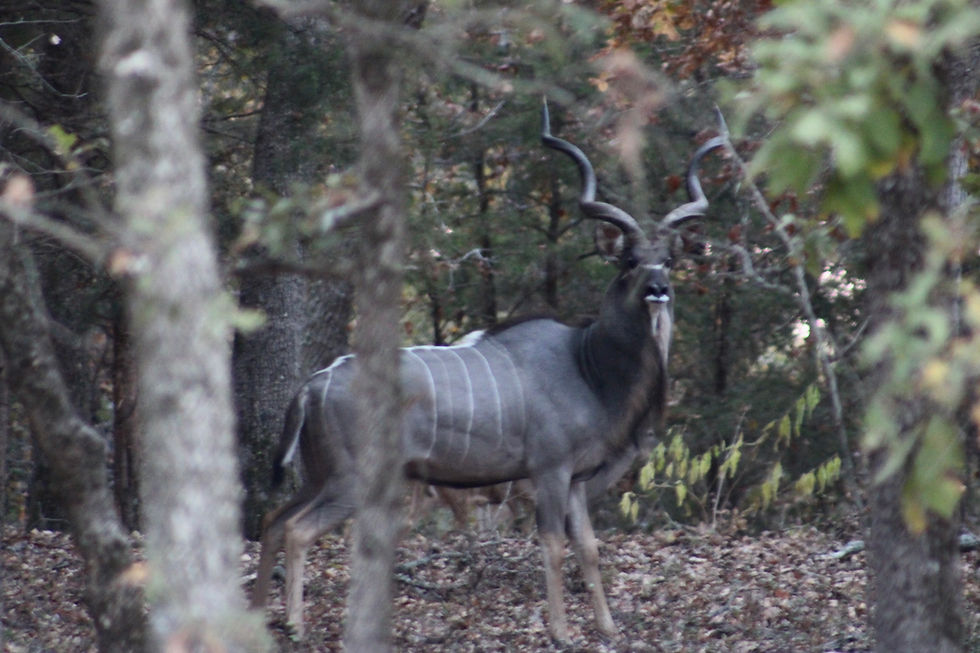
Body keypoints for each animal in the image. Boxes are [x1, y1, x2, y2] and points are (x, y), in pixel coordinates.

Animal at [250, 102, 723, 643]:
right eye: (628, 260)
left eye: (667, 260)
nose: (658, 289)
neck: (589, 366)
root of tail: (311, 386)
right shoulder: (550, 469)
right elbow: (553, 545)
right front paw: (561, 633)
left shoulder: (576, 478)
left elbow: (589, 546)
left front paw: (607, 628)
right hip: (350, 478)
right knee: (296, 529)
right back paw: (294, 625)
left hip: (317, 474)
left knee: (271, 518)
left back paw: (255, 615)